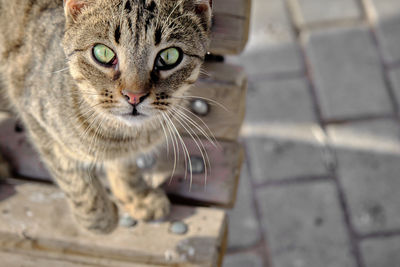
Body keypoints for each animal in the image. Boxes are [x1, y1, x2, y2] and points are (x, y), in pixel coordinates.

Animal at [0, 0, 212, 234]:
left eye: (169, 56)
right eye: (102, 53)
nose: (134, 95)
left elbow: (125, 166)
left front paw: (137, 196)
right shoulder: (36, 119)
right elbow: (75, 180)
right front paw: (99, 218)